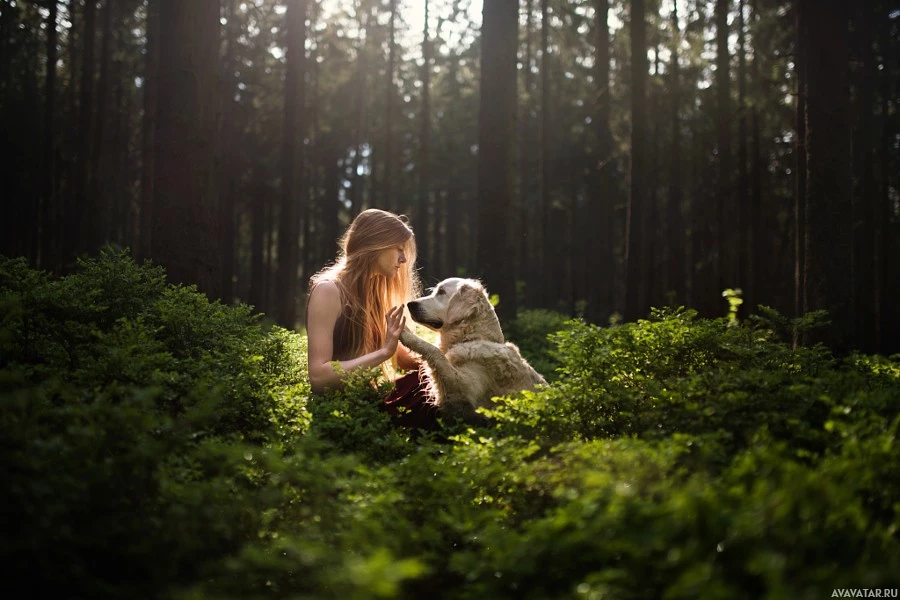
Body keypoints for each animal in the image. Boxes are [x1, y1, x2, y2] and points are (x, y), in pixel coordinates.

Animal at [402, 276, 548, 422]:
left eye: (441, 292)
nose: (410, 304)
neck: (473, 338)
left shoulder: (462, 392)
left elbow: (436, 353)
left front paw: (406, 333)